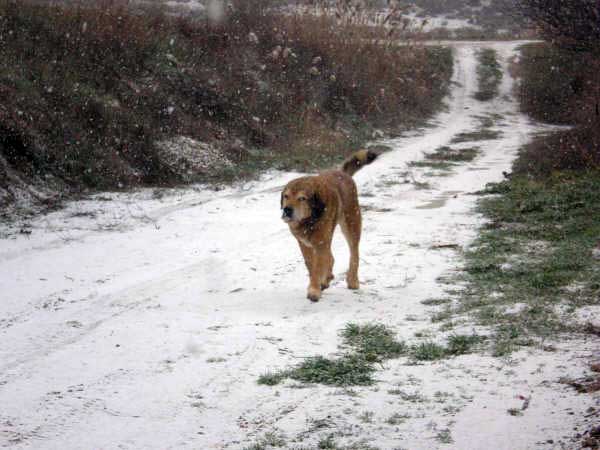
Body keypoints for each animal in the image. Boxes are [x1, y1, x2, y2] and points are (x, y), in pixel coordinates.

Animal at [282, 149, 378, 300]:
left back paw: (352, 280)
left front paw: (314, 291)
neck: (310, 219)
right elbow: (312, 265)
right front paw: (317, 284)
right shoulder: (304, 243)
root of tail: (342, 173)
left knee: (354, 252)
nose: (287, 209)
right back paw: (327, 280)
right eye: (286, 196)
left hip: (351, 224)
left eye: (302, 198)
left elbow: (318, 266)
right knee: (331, 258)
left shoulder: (320, 242)